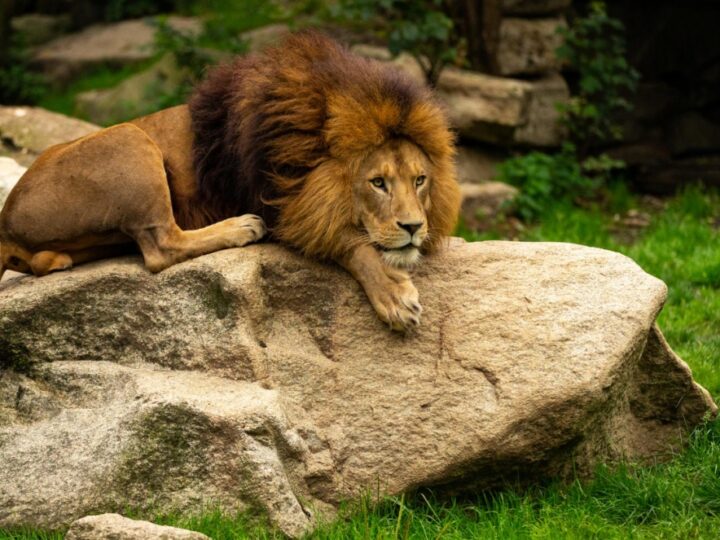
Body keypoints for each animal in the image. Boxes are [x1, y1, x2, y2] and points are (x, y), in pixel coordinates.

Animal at [0, 32, 462, 334]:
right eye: (377, 182)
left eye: (420, 180)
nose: (413, 227)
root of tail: (6, 220)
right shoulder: (283, 204)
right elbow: (352, 242)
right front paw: (393, 294)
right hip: (130, 137)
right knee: (160, 248)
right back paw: (241, 226)